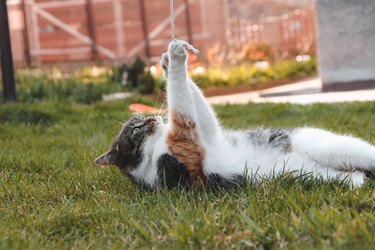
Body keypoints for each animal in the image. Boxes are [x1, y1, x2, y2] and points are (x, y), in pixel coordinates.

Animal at [95, 40, 375, 189]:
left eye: (139, 122)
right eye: (136, 128)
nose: (152, 118)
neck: (154, 155)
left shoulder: (209, 134)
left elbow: (197, 103)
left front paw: (165, 64)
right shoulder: (188, 143)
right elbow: (180, 99)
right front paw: (175, 61)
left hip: (326, 145)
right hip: (316, 174)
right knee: (355, 176)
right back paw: (358, 182)